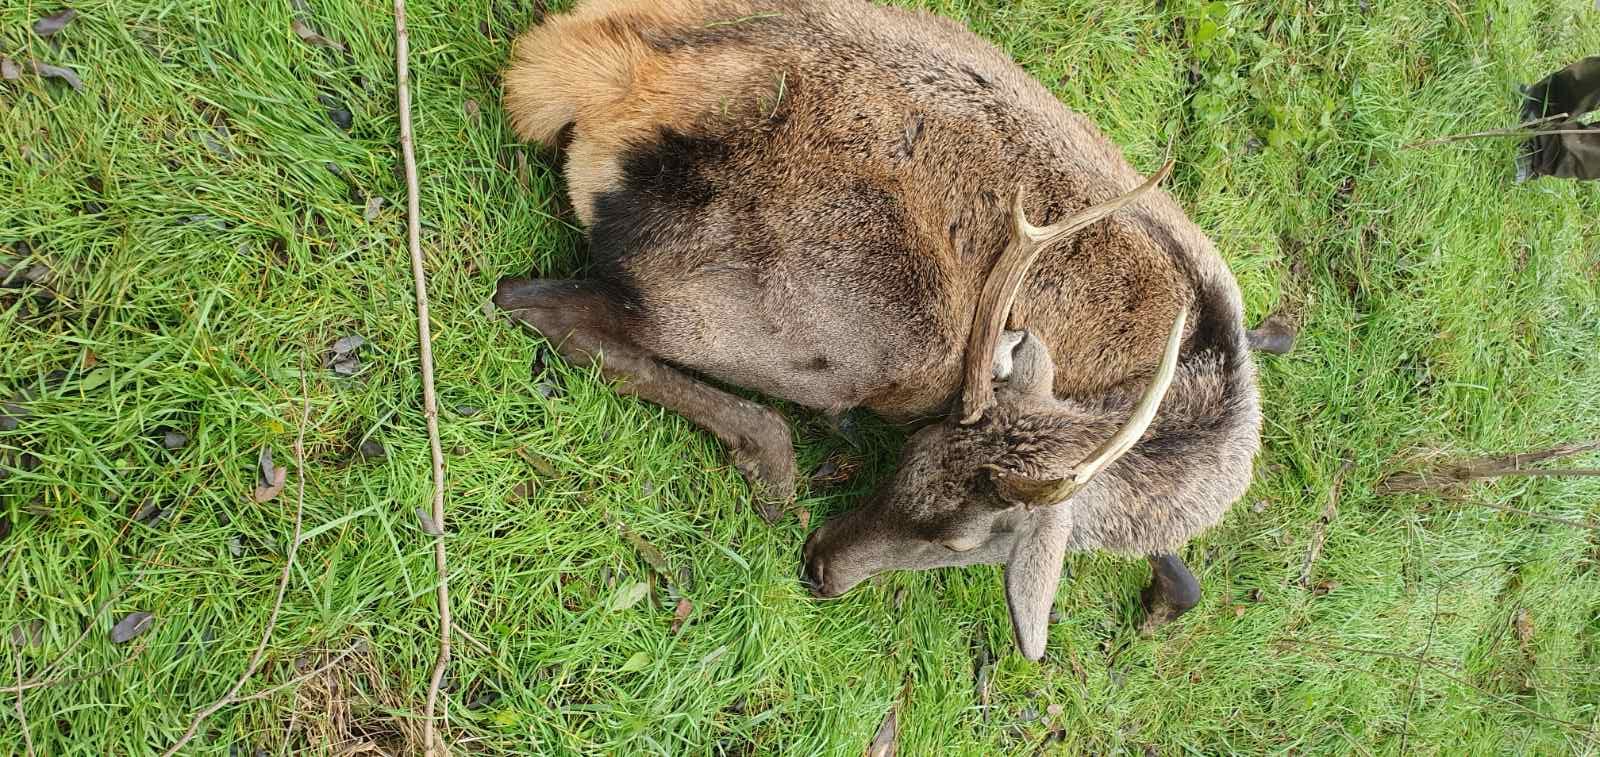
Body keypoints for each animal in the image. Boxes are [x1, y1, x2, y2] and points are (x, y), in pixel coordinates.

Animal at [499, 0, 1260, 656]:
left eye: (962, 543)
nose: (821, 567)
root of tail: (606, 74)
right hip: (864, 334)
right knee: (543, 303)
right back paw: (773, 467)